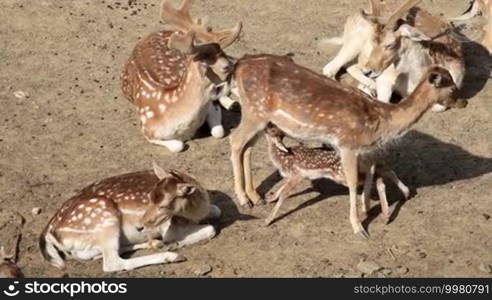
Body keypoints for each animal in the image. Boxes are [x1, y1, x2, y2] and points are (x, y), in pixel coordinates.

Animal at [39, 163, 220, 274]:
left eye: (163, 205)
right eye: (149, 197)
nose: (141, 225)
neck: (197, 211)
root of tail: (49, 233)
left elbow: (217, 211)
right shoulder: (169, 227)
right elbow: (211, 229)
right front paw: (175, 243)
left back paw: (155, 243)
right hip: (104, 216)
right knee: (112, 263)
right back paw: (171, 255)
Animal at [121, 0, 240, 152]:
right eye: (226, 66)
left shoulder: (211, 105)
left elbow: (218, 131)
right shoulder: (147, 129)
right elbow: (178, 145)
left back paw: (234, 103)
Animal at [264, 123, 410, 225]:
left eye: (272, 128)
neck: (281, 157)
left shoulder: (297, 175)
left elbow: (284, 194)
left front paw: (268, 220)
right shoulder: (293, 176)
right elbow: (282, 188)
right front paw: (270, 198)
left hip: (341, 176)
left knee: (378, 177)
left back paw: (386, 213)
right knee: (383, 170)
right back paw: (404, 195)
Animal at [322, 0, 466, 112]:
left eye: (390, 44)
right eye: (372, 42)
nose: (368, 71)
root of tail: (350, 18)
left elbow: (439, 106)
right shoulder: (385, 78)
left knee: (350, 66)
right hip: (355, 42)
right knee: (330, 68)